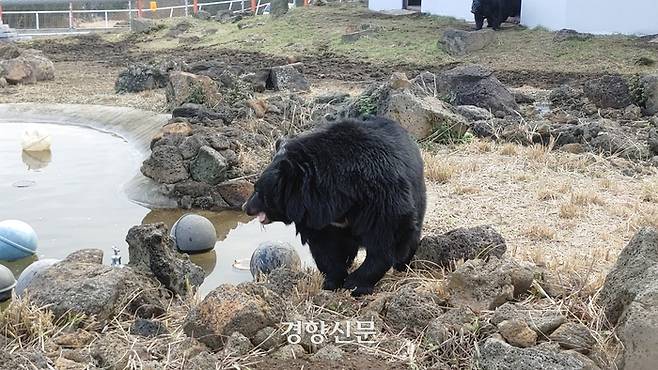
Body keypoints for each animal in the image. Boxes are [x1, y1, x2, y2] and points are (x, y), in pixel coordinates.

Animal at [241, 117, 426, 296]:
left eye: (258, 190)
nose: (245, 207)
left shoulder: (381, 198)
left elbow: (386, 237)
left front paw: (355, 284)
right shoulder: (317, 217)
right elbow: (325, 248)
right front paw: (332, 282)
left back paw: (402, 266)